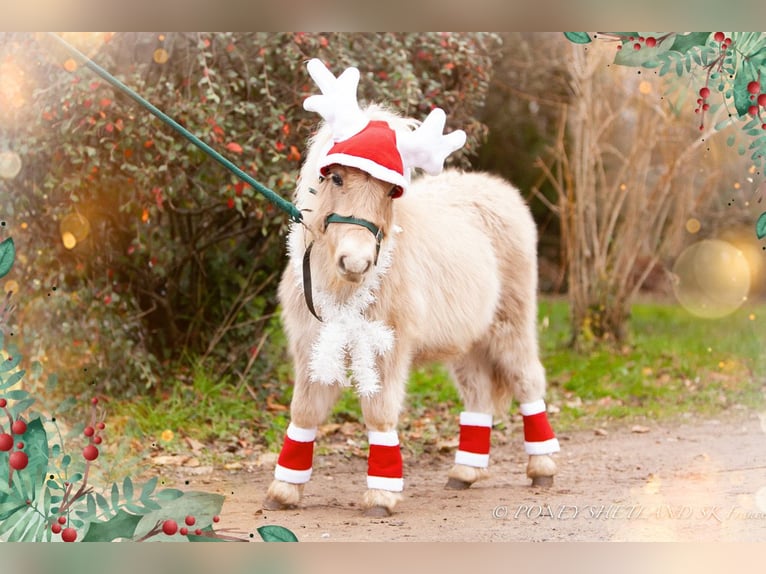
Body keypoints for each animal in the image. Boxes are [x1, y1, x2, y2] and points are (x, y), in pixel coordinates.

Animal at [264, 60, 560, 520]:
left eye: (391, 189)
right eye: (336, 177)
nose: (357, 262)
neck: (341, 285)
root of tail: (499, 189)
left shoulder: (387, 348)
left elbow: (379, 413)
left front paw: (382, 494)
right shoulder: (312, 344)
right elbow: (305, 412)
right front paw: (284, 490)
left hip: (511, 323)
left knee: (527, 380)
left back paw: (542, 467)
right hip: (467, 340)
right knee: (478, 393)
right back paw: (465, 473)